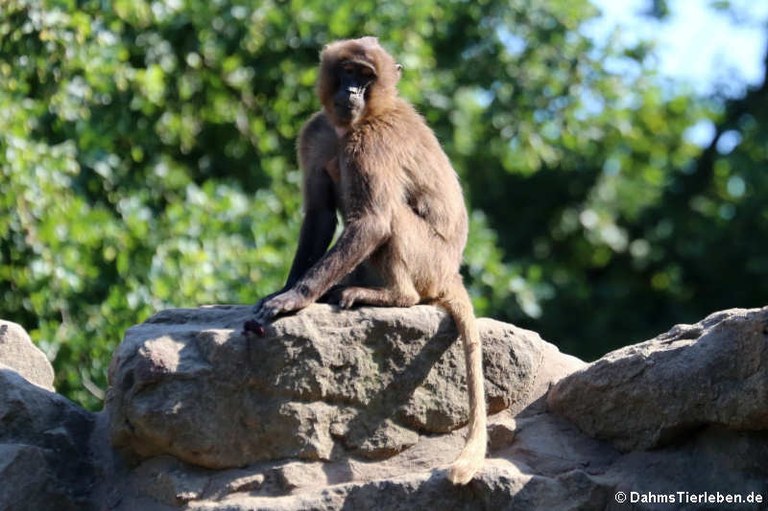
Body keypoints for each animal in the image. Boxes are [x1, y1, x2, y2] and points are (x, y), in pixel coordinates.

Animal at [255, 36, 488, 484]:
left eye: (367, 76)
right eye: (347, 71)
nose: (351, 92)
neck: (354, 123)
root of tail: (450, 273)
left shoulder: (372, 140)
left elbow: (374, 221)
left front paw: (295, 299)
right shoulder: (315, 131)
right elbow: (319, 215)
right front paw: (287, 288)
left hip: (427, 259)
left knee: (390, 215)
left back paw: (392, 296)